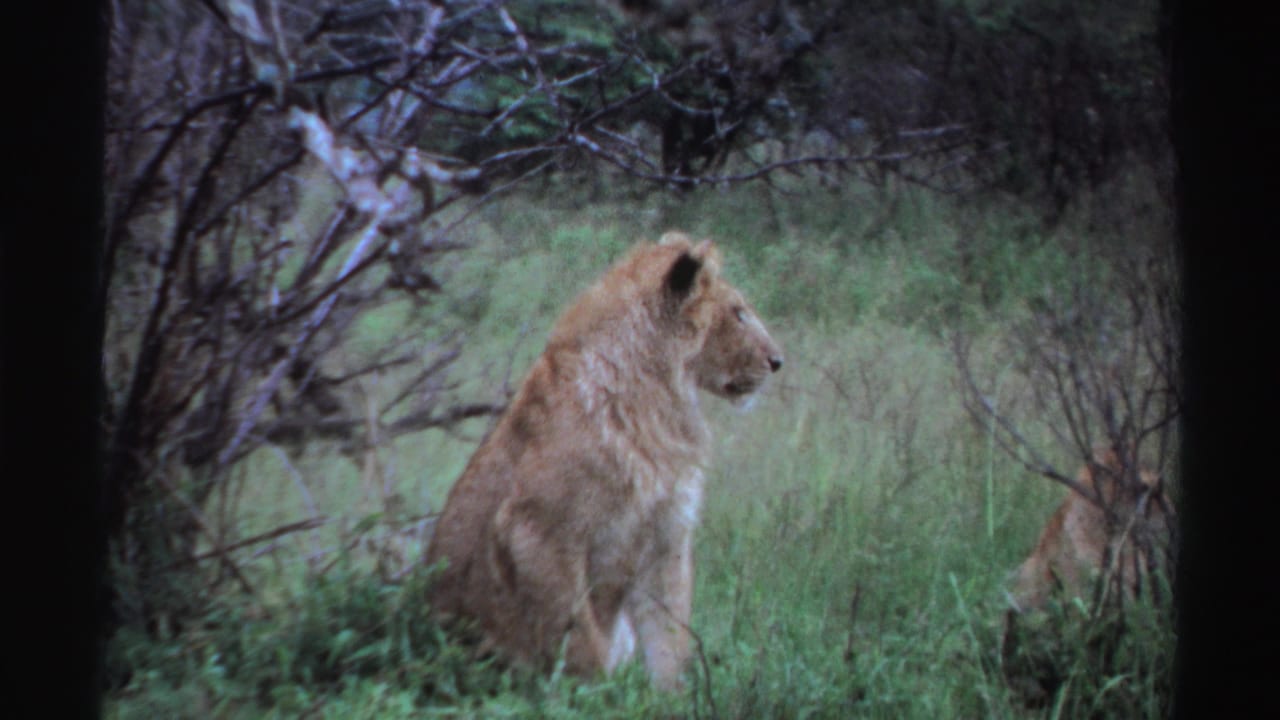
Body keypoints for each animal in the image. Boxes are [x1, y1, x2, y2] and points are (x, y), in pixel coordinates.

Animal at [424, 232, 783, 689]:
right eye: (738, 313)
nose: (777, 361)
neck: (657, 398)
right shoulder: (538, 534)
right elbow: (580, 641)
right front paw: (596, 694)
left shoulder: (667, 536)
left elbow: (670, 638)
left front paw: (669, 698)